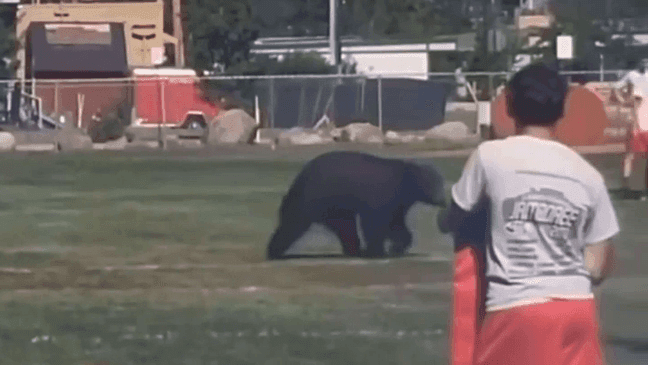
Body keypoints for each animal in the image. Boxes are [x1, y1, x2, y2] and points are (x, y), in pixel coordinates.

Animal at [266, 151, 448, 258]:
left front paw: (396, 247)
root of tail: (300, 176)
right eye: (435, 183)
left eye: (441, 182)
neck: (405, 181)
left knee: (345, 226)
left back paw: (354, 250)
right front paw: (378, 251)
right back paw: (274, 250)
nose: (443, 200)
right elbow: (375, 222)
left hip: (334, 206)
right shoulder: (383, 193)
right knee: (293, 223)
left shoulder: (399, 202)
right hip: (317, 198)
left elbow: (396, 224)